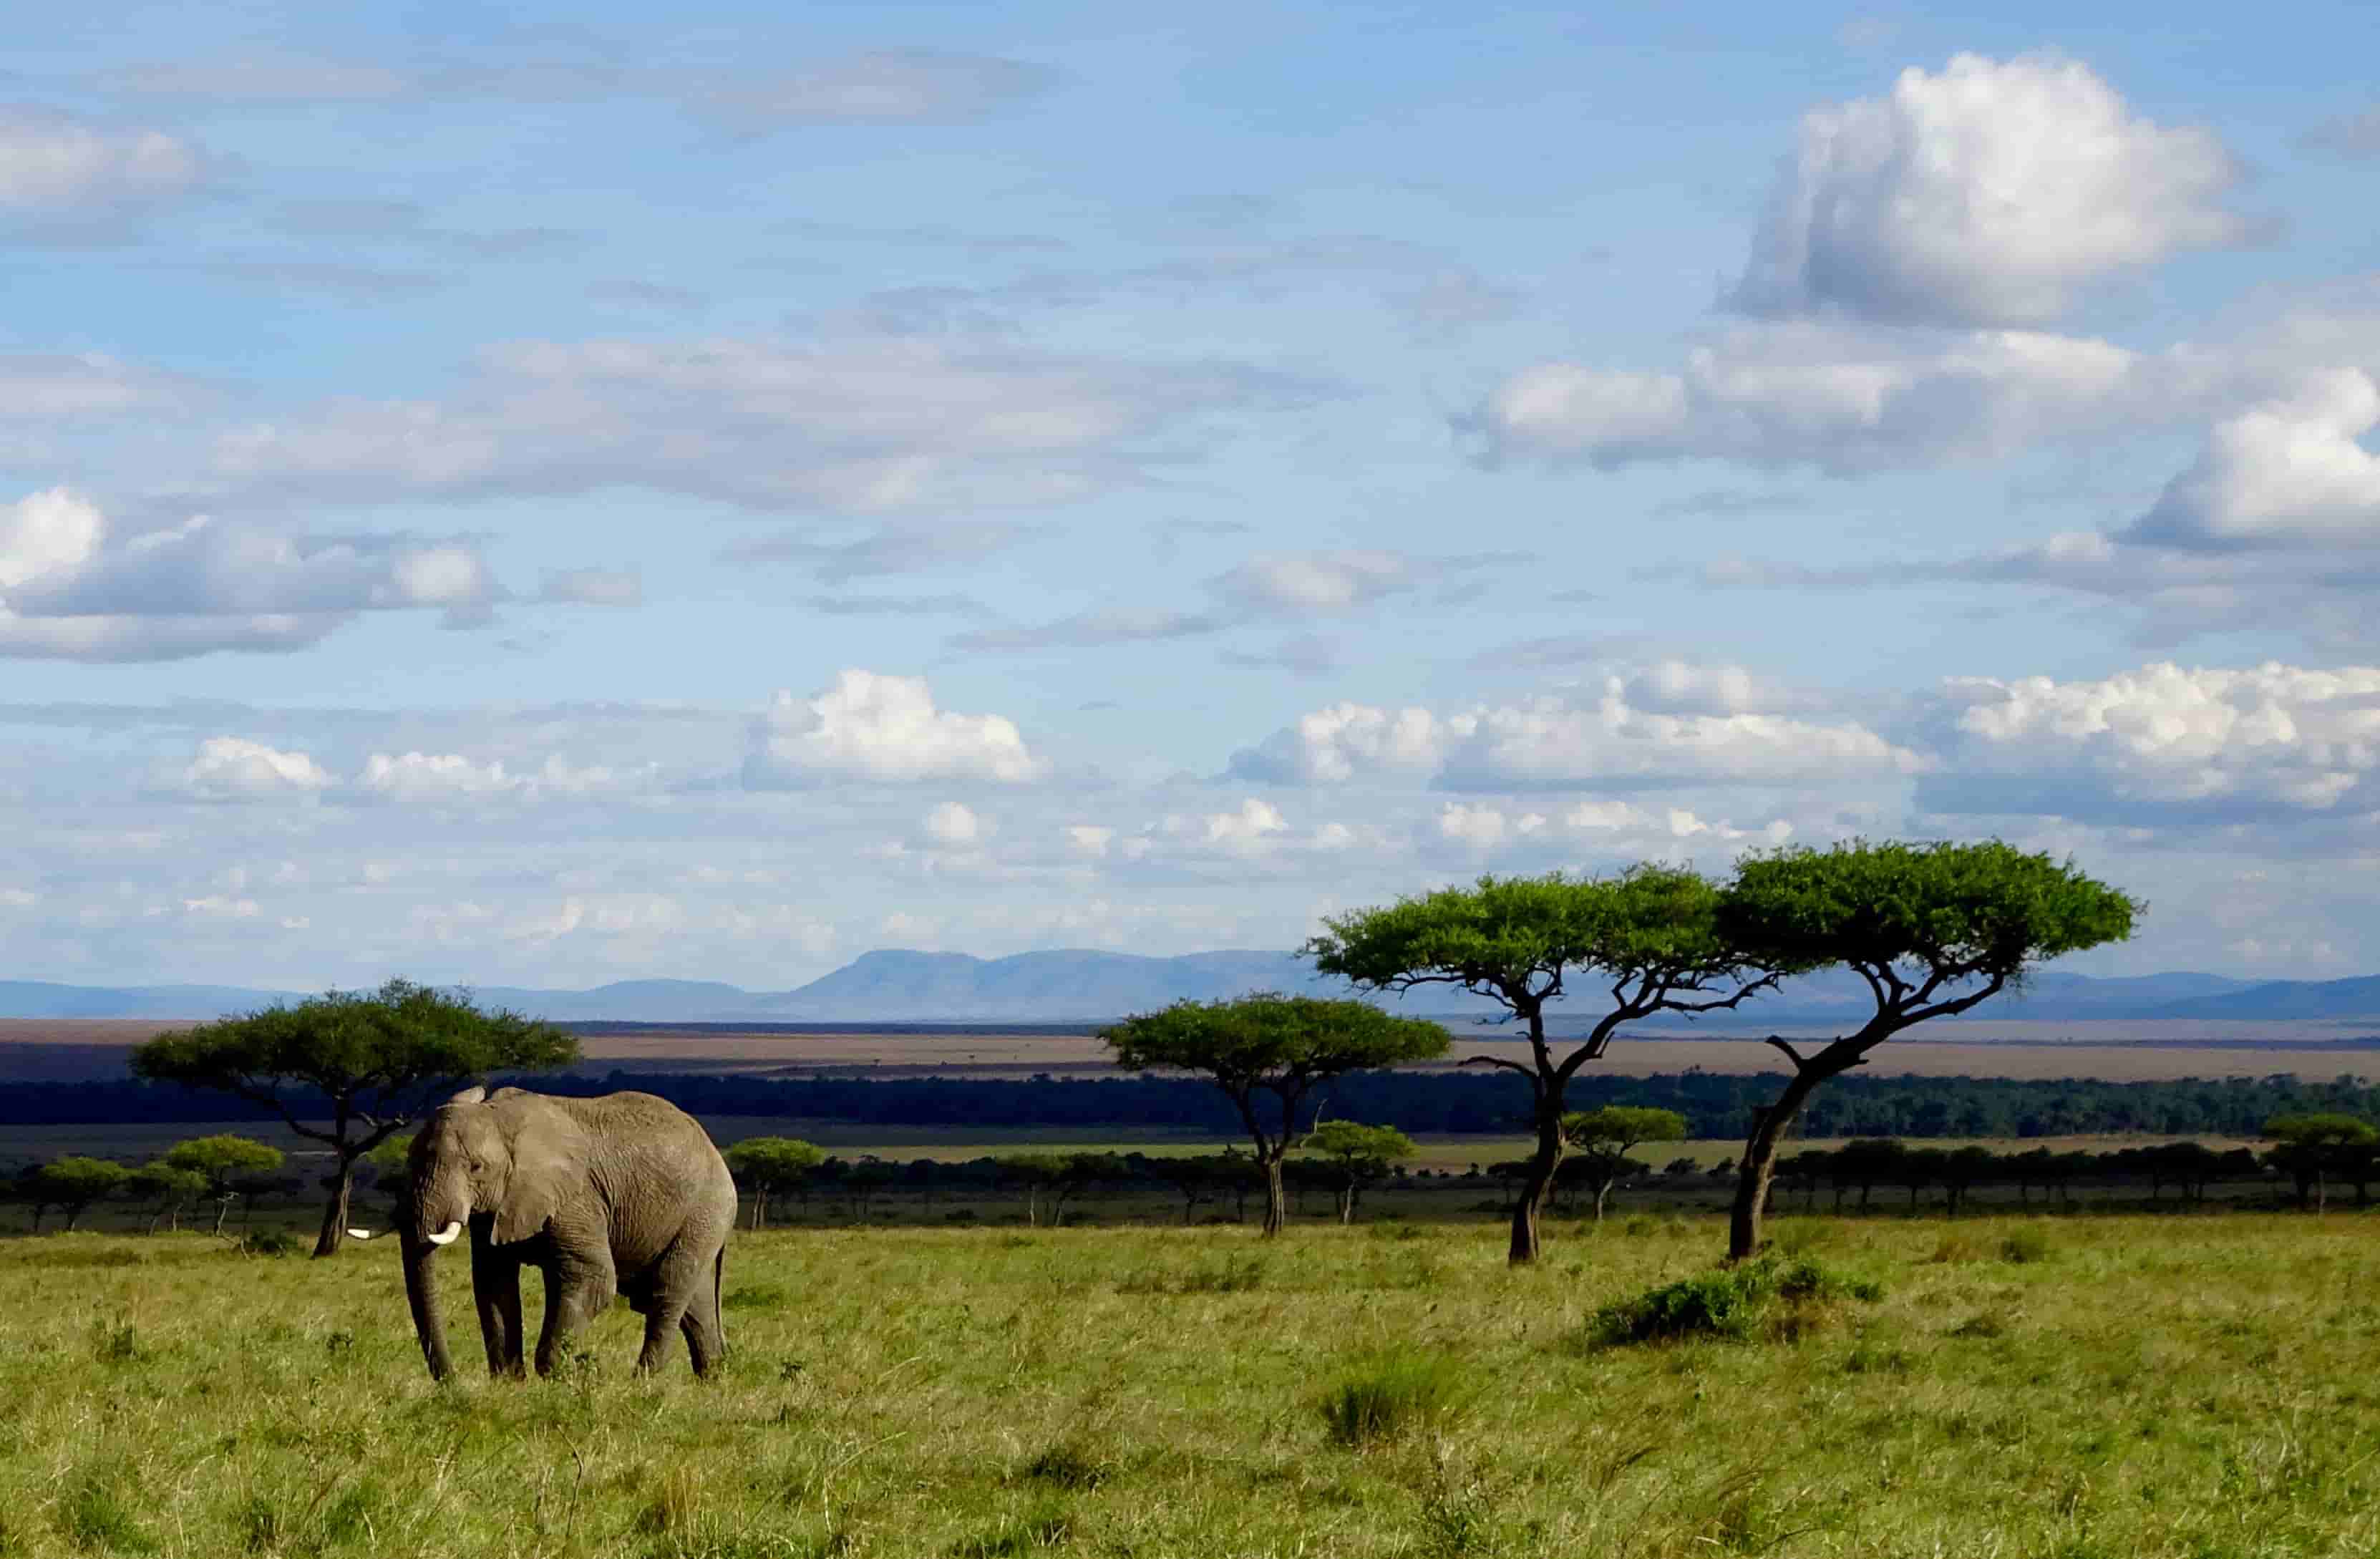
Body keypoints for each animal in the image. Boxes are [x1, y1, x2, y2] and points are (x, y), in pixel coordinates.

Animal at [352, 1085, 733, 1380]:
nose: (452, 1383)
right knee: (694, 1307)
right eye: (410, 1159)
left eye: (476, 1168)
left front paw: (560, 1378)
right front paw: (509, 1384)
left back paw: (642, 1382)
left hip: (705, 1211)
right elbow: (493, 1283)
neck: (500, 1119)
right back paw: (712, 1380)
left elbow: (592, 1279)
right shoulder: (500, 1207)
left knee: (667, 1292)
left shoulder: (576, 1198)